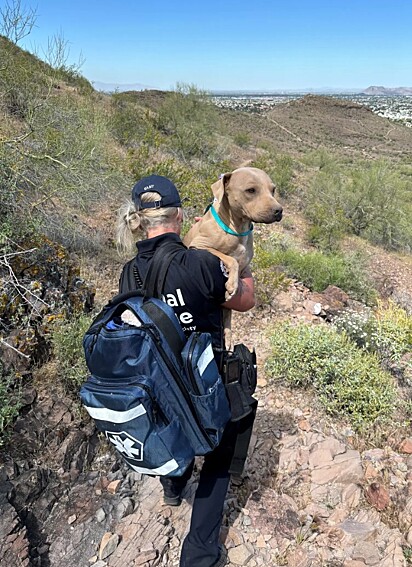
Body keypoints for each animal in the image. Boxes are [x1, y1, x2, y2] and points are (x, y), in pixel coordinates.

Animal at [183, 166, 284, 302]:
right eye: (251, 190)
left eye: (273, 190)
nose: (279, 210)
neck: (239, 229)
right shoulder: (200, 245)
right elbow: (231, 259)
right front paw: (232, 284)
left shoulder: (244, 267)